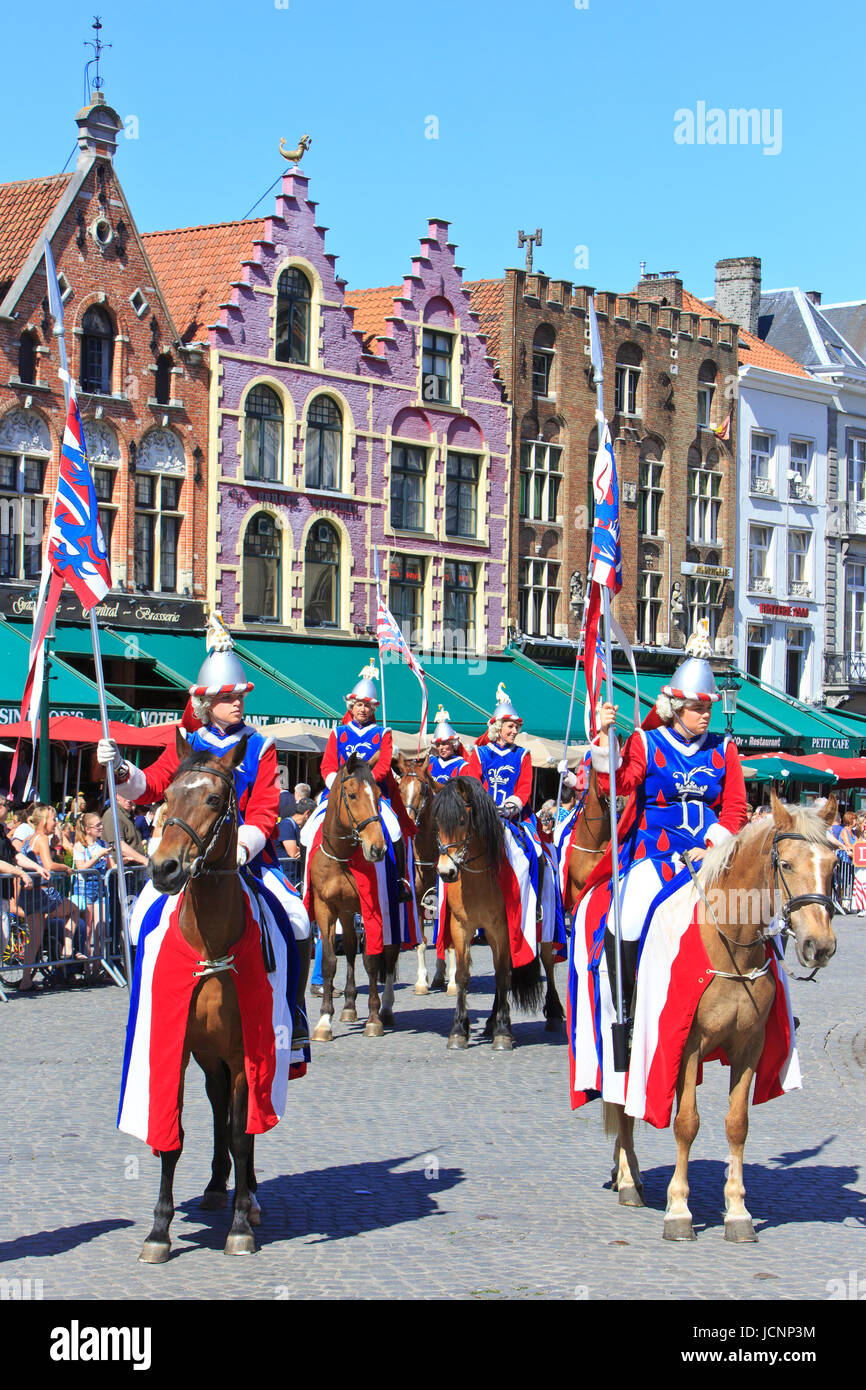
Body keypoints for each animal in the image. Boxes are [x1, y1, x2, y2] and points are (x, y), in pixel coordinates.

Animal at [141, 733, 304, 1267]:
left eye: (214, 799)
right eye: (167, 797)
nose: (164, 868)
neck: (211, 942)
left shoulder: (244, 1050)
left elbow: (240, 1132)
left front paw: (239, 1227)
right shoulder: (177, 1046)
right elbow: (173, 1135)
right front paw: (159, 1231)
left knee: (241, 1124)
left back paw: (247, 1197)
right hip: (208, 1056)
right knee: (217, 1108)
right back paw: (218, 1186)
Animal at [307, 756, 400, 1039]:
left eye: (379, 795)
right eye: (351, 795)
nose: (377, 849)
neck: (342, 856)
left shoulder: (374, 909)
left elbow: (371, 959)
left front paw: (373, 1019)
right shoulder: (325, 908)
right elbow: (329, 961)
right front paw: (324, 1021)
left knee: (390, 953)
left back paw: (386, 1007)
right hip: (347, 913)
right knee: (348, 949)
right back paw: (348, 1005)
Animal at [394, 750, 461, 1000]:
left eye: (423, 789)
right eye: (399, 787)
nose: (407, 822)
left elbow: (450, 943)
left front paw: (454, 983)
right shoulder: (417, 898)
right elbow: (422, 942)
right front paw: (421, 982)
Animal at [433, 778, 542, 1045]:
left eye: (463, 820)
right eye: (437, 822)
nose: (446, 872)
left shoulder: (502, 929)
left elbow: (502, 976)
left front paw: (503, 1032)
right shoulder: (460, 927)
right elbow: (462, 975)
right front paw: (458, 1029)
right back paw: (491, 1021)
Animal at [603, 800, 839, 1245]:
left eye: (834, 865)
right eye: (785, 863)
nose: (819, 946)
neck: (731, 942)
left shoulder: (750, 1047)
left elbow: (737, 1124)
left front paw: (737, 1212)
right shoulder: (685, 1043)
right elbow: (686, 1123)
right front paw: (679, 1210)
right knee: (622, 1102)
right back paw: (627, 1178)